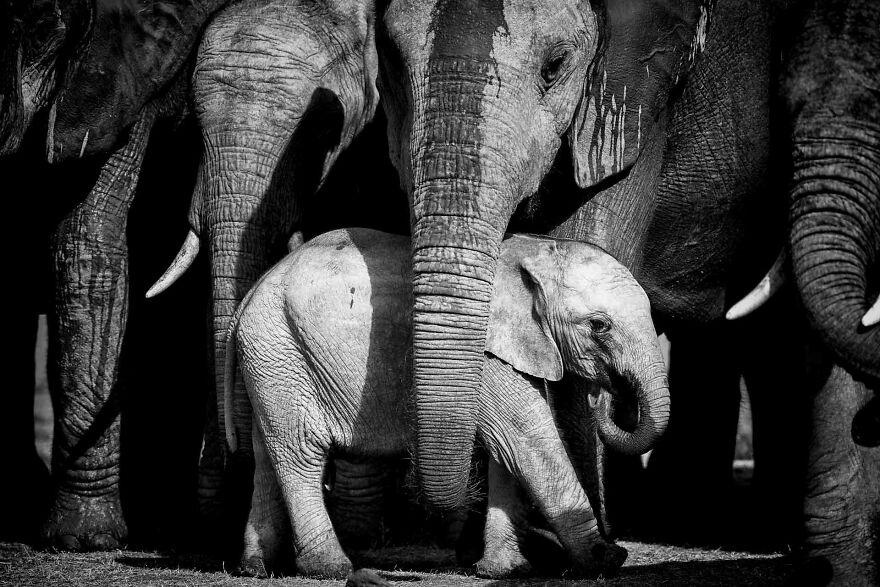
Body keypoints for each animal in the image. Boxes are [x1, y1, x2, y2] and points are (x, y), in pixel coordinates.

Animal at [223, 227, 668, 578]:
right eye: (599, 326)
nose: (605, 394)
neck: (530, 251)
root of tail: (248, 298)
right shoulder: (485, 353)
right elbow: (524, 438)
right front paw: (606, 560)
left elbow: (506, 452)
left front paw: (506, 570)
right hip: (280, 347)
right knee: (300, 453)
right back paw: (330, 568)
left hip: (270, 357)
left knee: (267, 455)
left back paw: (257, 567)